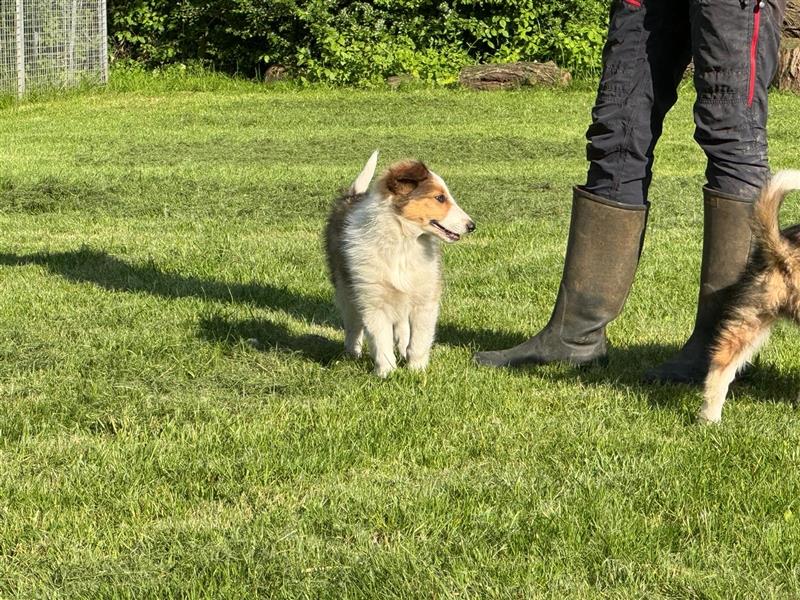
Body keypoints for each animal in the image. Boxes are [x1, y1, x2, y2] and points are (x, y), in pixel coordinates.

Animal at [324, 152, 476, 378]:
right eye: (440, 198)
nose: (471, 226)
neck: (404, 242)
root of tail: (350, 197)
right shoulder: (373, 302)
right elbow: (381, 341)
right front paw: (386, 373)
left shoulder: (425, 299)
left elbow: (419, 340)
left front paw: (416, 371)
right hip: (346, 289)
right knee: (353, 324)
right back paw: (352, 354)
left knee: (403, 327)